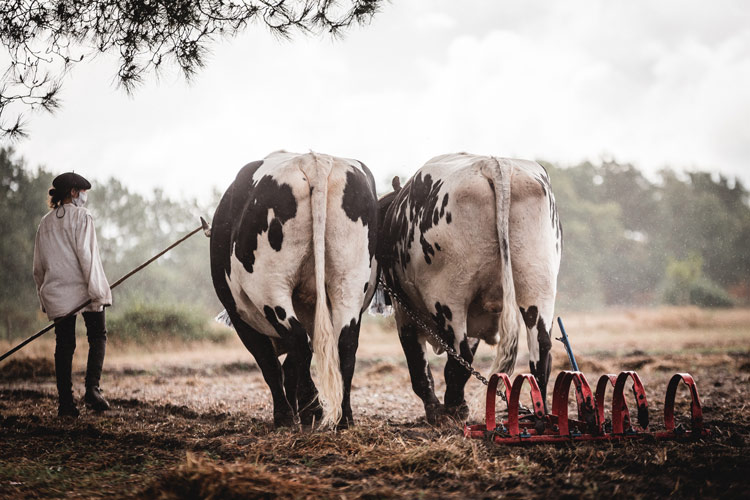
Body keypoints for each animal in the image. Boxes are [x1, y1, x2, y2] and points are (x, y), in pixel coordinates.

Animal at [210, 150, 376, 428]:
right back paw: (343, 417)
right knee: (345, 345)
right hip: (349, 283)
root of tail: (312, 159)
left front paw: (291, 412)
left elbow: (270, 364)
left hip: (271, 288)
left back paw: (295, 414)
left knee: (297, 342)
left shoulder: (242, 318)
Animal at [376, 151, 564, 422]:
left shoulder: (405, 314)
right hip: (538, 287)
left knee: (459, 354)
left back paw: (453, 407)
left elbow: (419, 368)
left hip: (448, 297)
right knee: (541, 350)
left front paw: (434, 409)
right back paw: (539, 414)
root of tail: (493, 163)